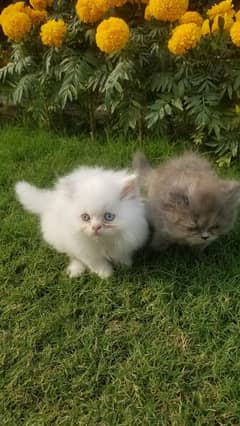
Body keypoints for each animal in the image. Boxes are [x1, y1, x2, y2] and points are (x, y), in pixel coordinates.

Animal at [15, 165, 148, 278]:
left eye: (109, 217)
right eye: (85, 217)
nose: (96, 227)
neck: (102, 242)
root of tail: (50, 200)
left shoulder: (127, 239)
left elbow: (121, 255)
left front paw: (124, 265)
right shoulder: (85, 251)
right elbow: (97, 263)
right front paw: (106, 275)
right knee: (73, 256)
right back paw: (75, 271)